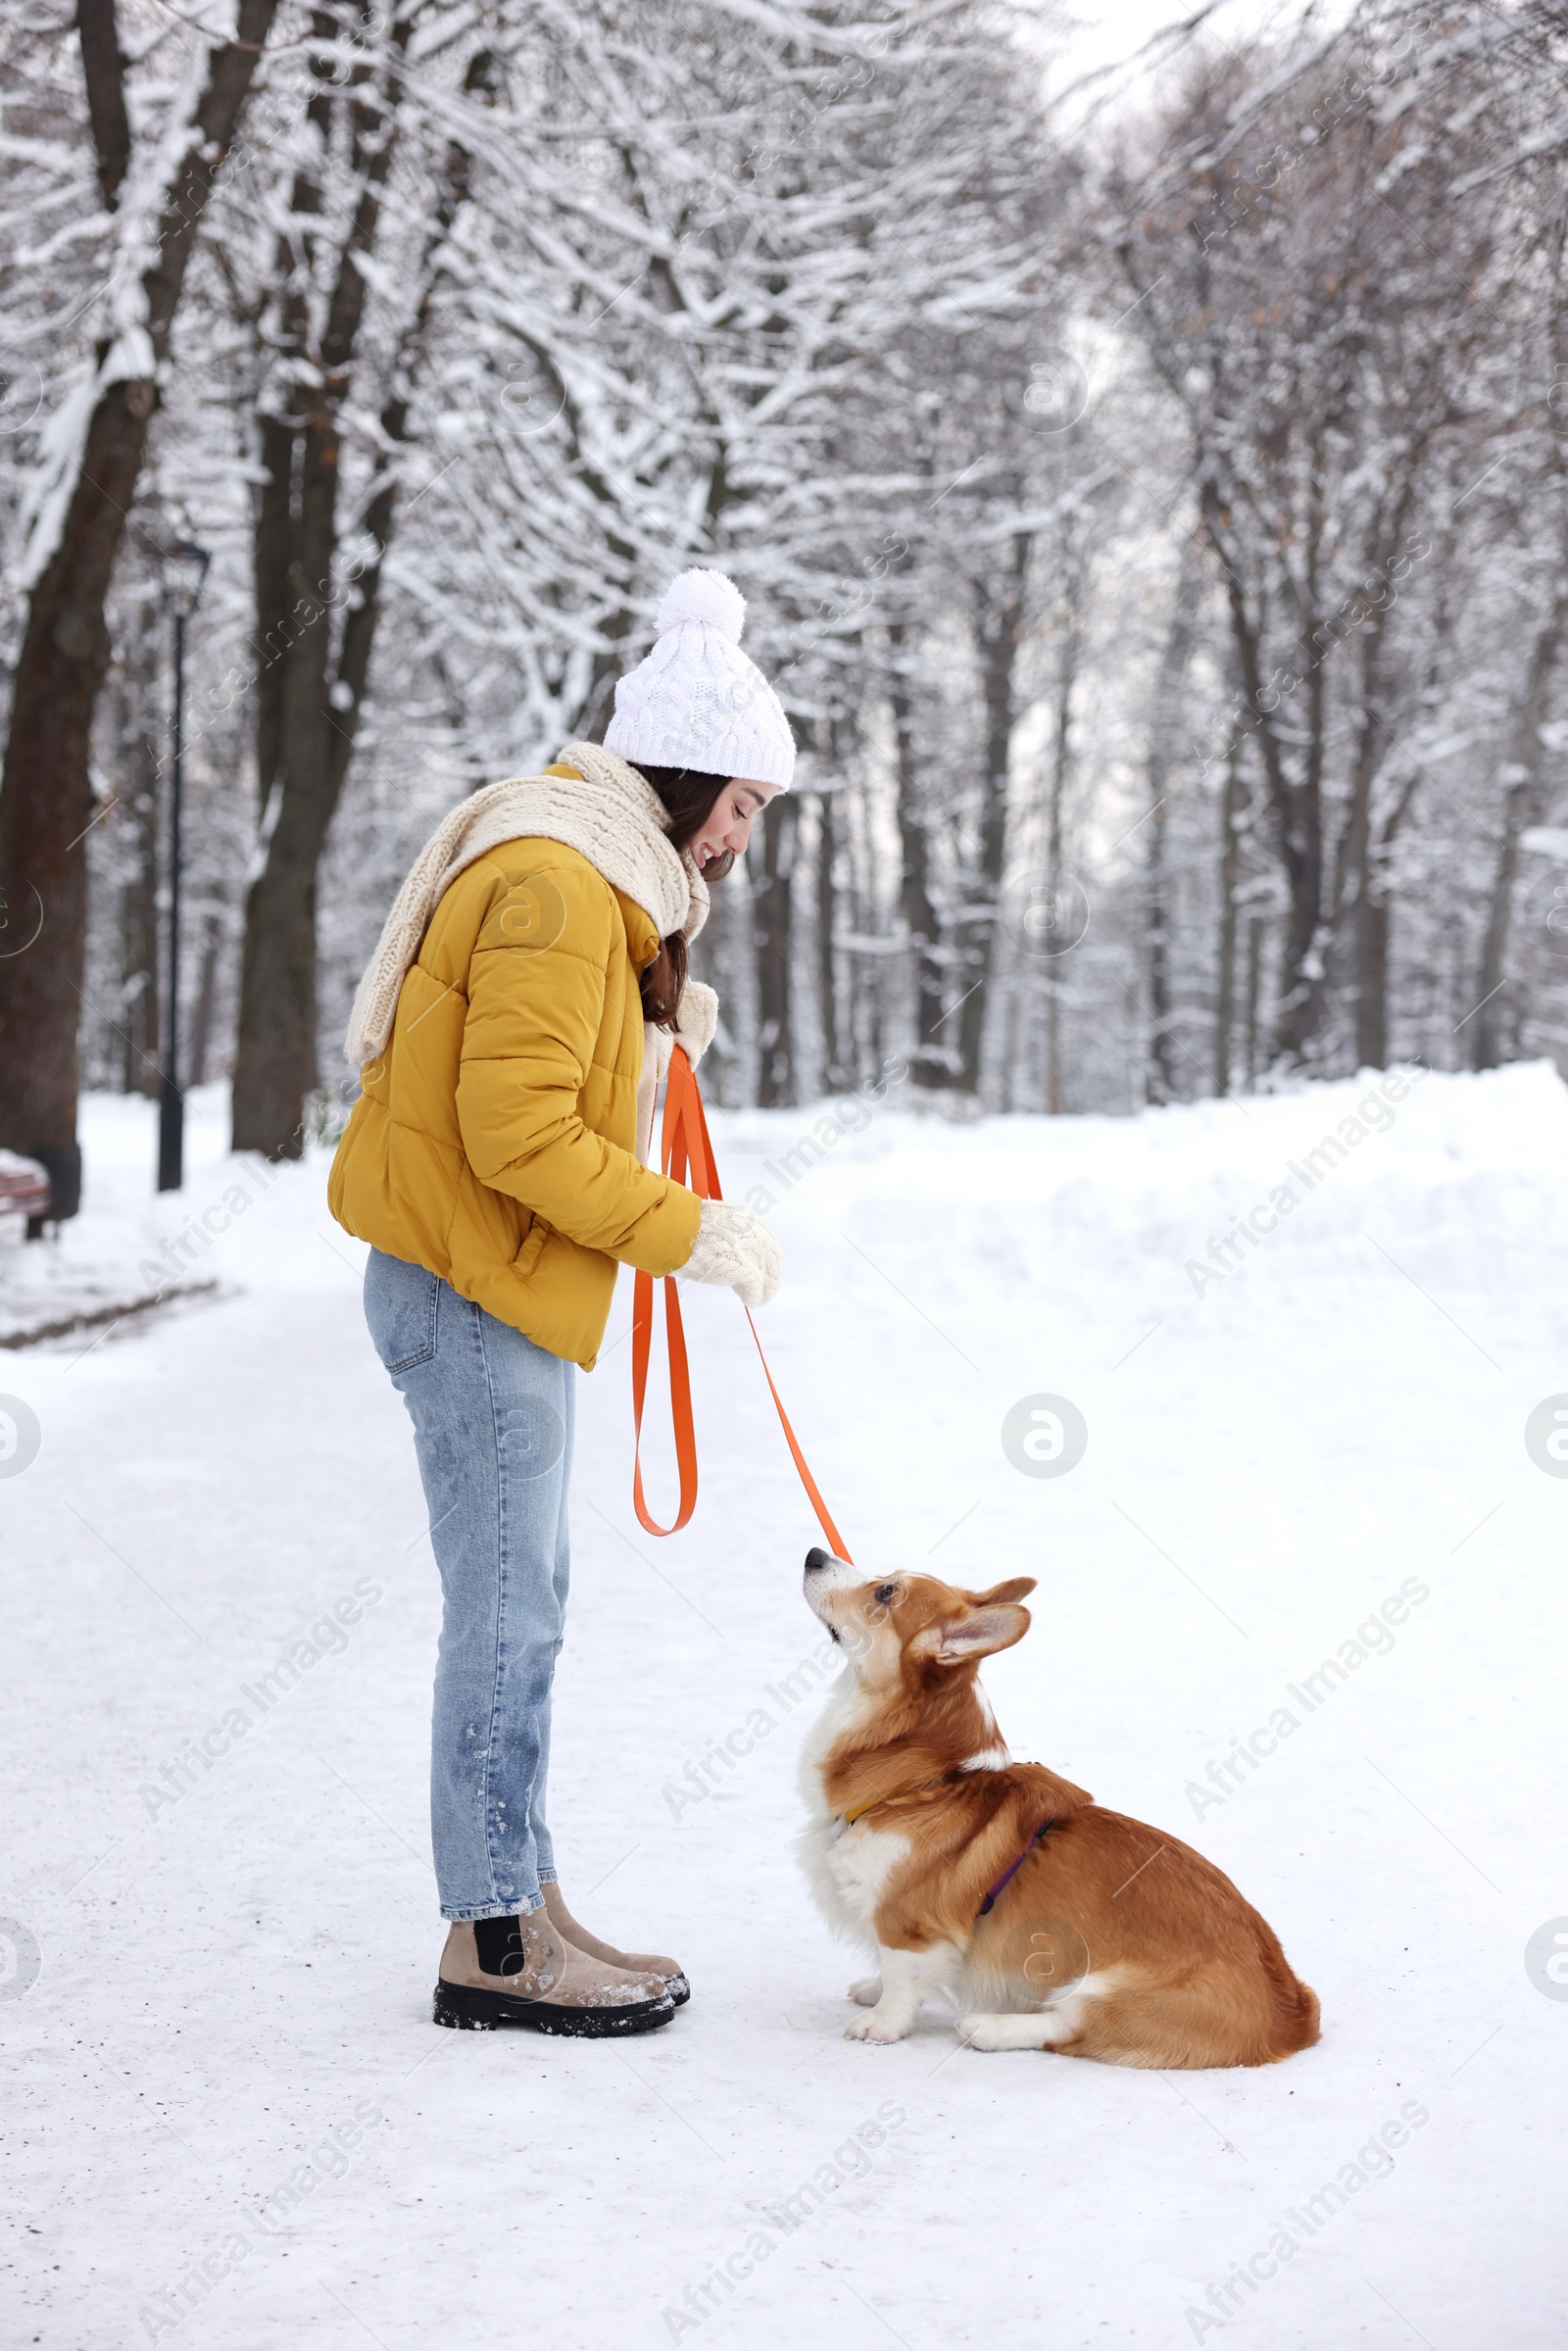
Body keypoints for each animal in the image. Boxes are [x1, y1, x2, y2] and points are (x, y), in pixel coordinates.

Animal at [799, 1551, 1325, 2069]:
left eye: (886, 1592)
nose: (814, 1554)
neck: (927, 1781)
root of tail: (1292, 2018)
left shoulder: (908, 1925)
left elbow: (900, 1979)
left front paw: (880, 2024)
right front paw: (872, 1990)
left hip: (1101, 1988)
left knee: (1065, 2027)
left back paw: (987, 2028)